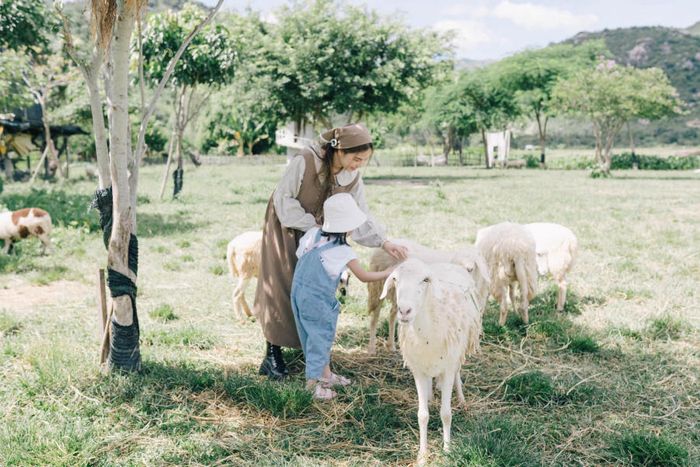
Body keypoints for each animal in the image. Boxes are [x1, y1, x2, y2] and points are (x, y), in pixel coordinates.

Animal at [380, 260, 484, 464]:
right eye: (395, 279)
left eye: (425, 280)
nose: (404, 311)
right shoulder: (418, 370)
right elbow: (422, 415)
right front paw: (422, 455)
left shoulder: (448, 368)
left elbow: (446, 414)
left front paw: (447, 451)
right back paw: (430, 394)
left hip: (457, 353)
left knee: (457, 373)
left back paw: (461, 399)